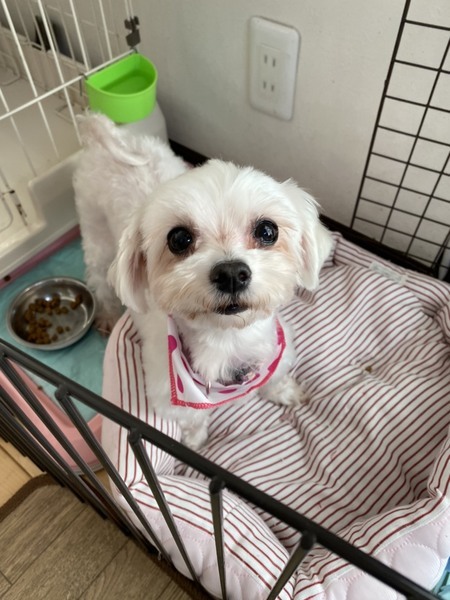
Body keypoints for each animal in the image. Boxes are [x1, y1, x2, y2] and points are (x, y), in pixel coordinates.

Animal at [74, 113, 332, 449]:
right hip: (96, 233)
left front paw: (284, 391)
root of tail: (104, 135)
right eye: (179, 239)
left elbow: (273, 377)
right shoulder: (169, 395)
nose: (232, 273)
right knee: (99, 279)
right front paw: (195, 441)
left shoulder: (274, 350)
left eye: (267, 231)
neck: (228, 342)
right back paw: (105, 314)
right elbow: (192, 419)